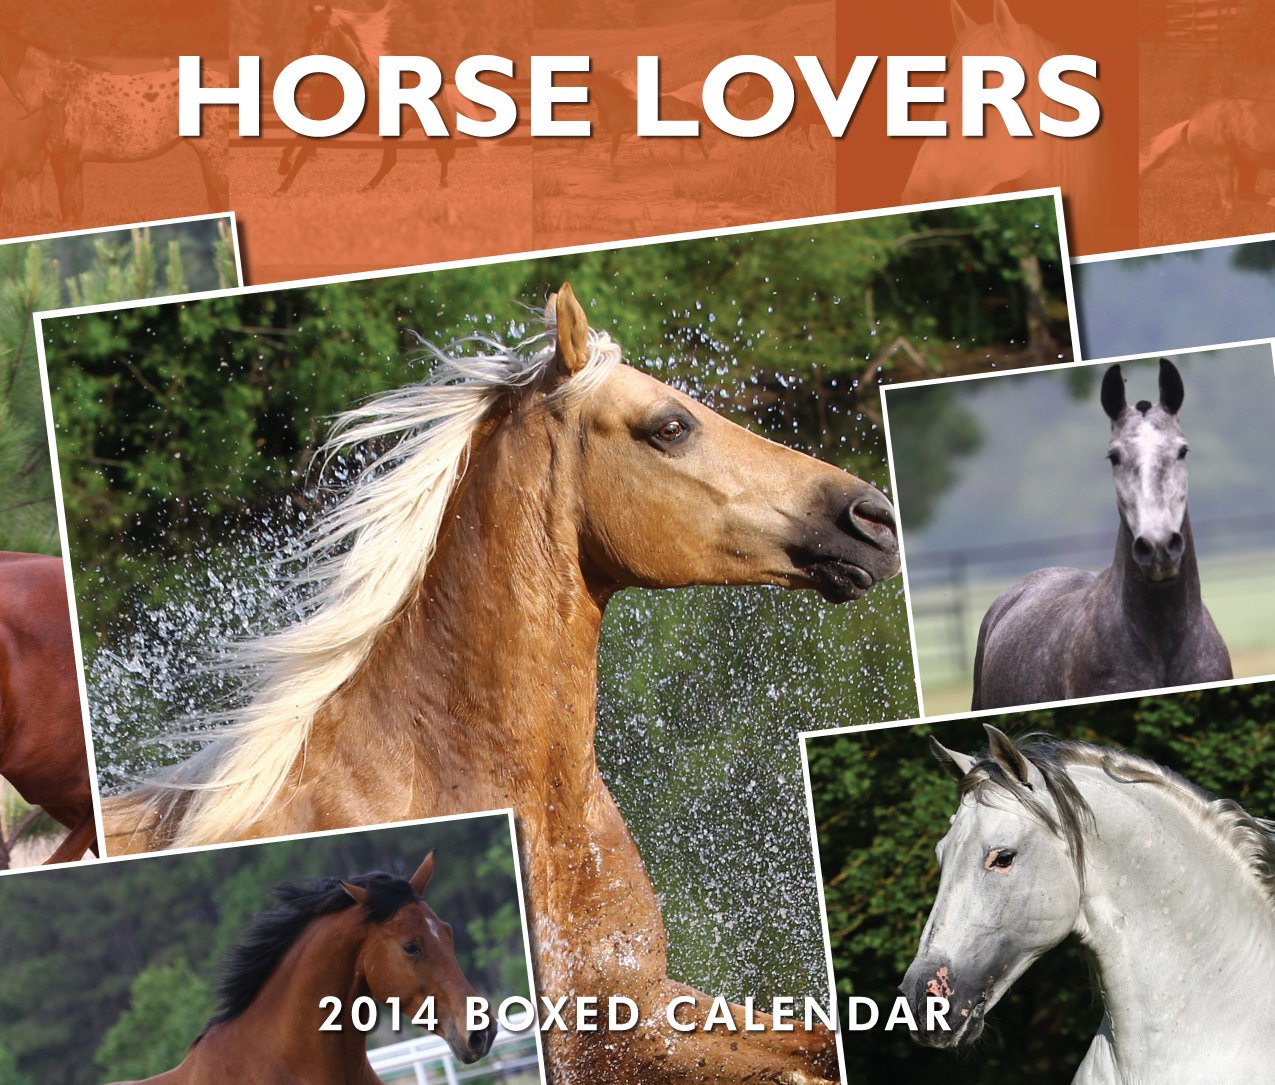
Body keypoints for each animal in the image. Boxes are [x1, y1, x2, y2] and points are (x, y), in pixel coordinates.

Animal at [0, 30, 227, 223]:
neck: (57, 85)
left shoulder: (64, 157)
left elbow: (66, 202)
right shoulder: (75, 161)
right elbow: (77, 206)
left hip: (212, 152)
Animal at [275, 2, 459, 195]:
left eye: (325, 28)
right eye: (308, 28)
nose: (307, 54)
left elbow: (303, 153)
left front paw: (282, 187)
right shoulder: (318, 118)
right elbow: (296, 142)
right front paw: (283, 166)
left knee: (441, 153)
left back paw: (443, 184)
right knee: (391, 161)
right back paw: (367, 187)